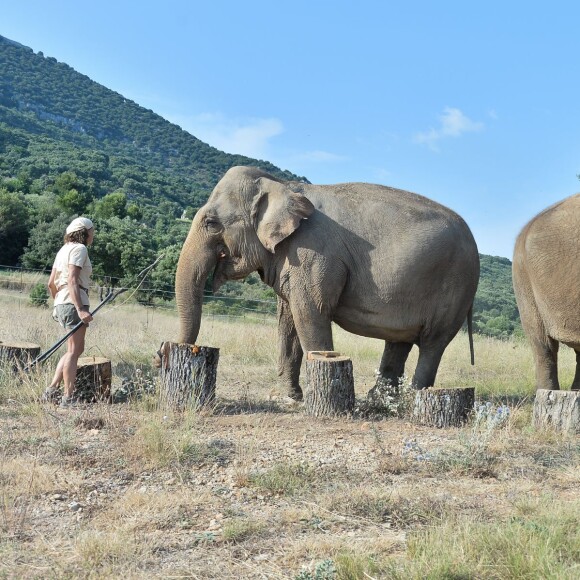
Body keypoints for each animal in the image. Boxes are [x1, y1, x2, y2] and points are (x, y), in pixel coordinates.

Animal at [177, 165, 480, 402]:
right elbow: (288, 318)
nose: (182, 349)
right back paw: (379, 400)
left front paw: (312, 395)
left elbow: (310, 313)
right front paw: (289, 397)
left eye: (211, 223)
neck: (283, 185)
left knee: (432, 344)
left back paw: (411, 399)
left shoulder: (313, 253)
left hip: (455, 288)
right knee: (399, 341)